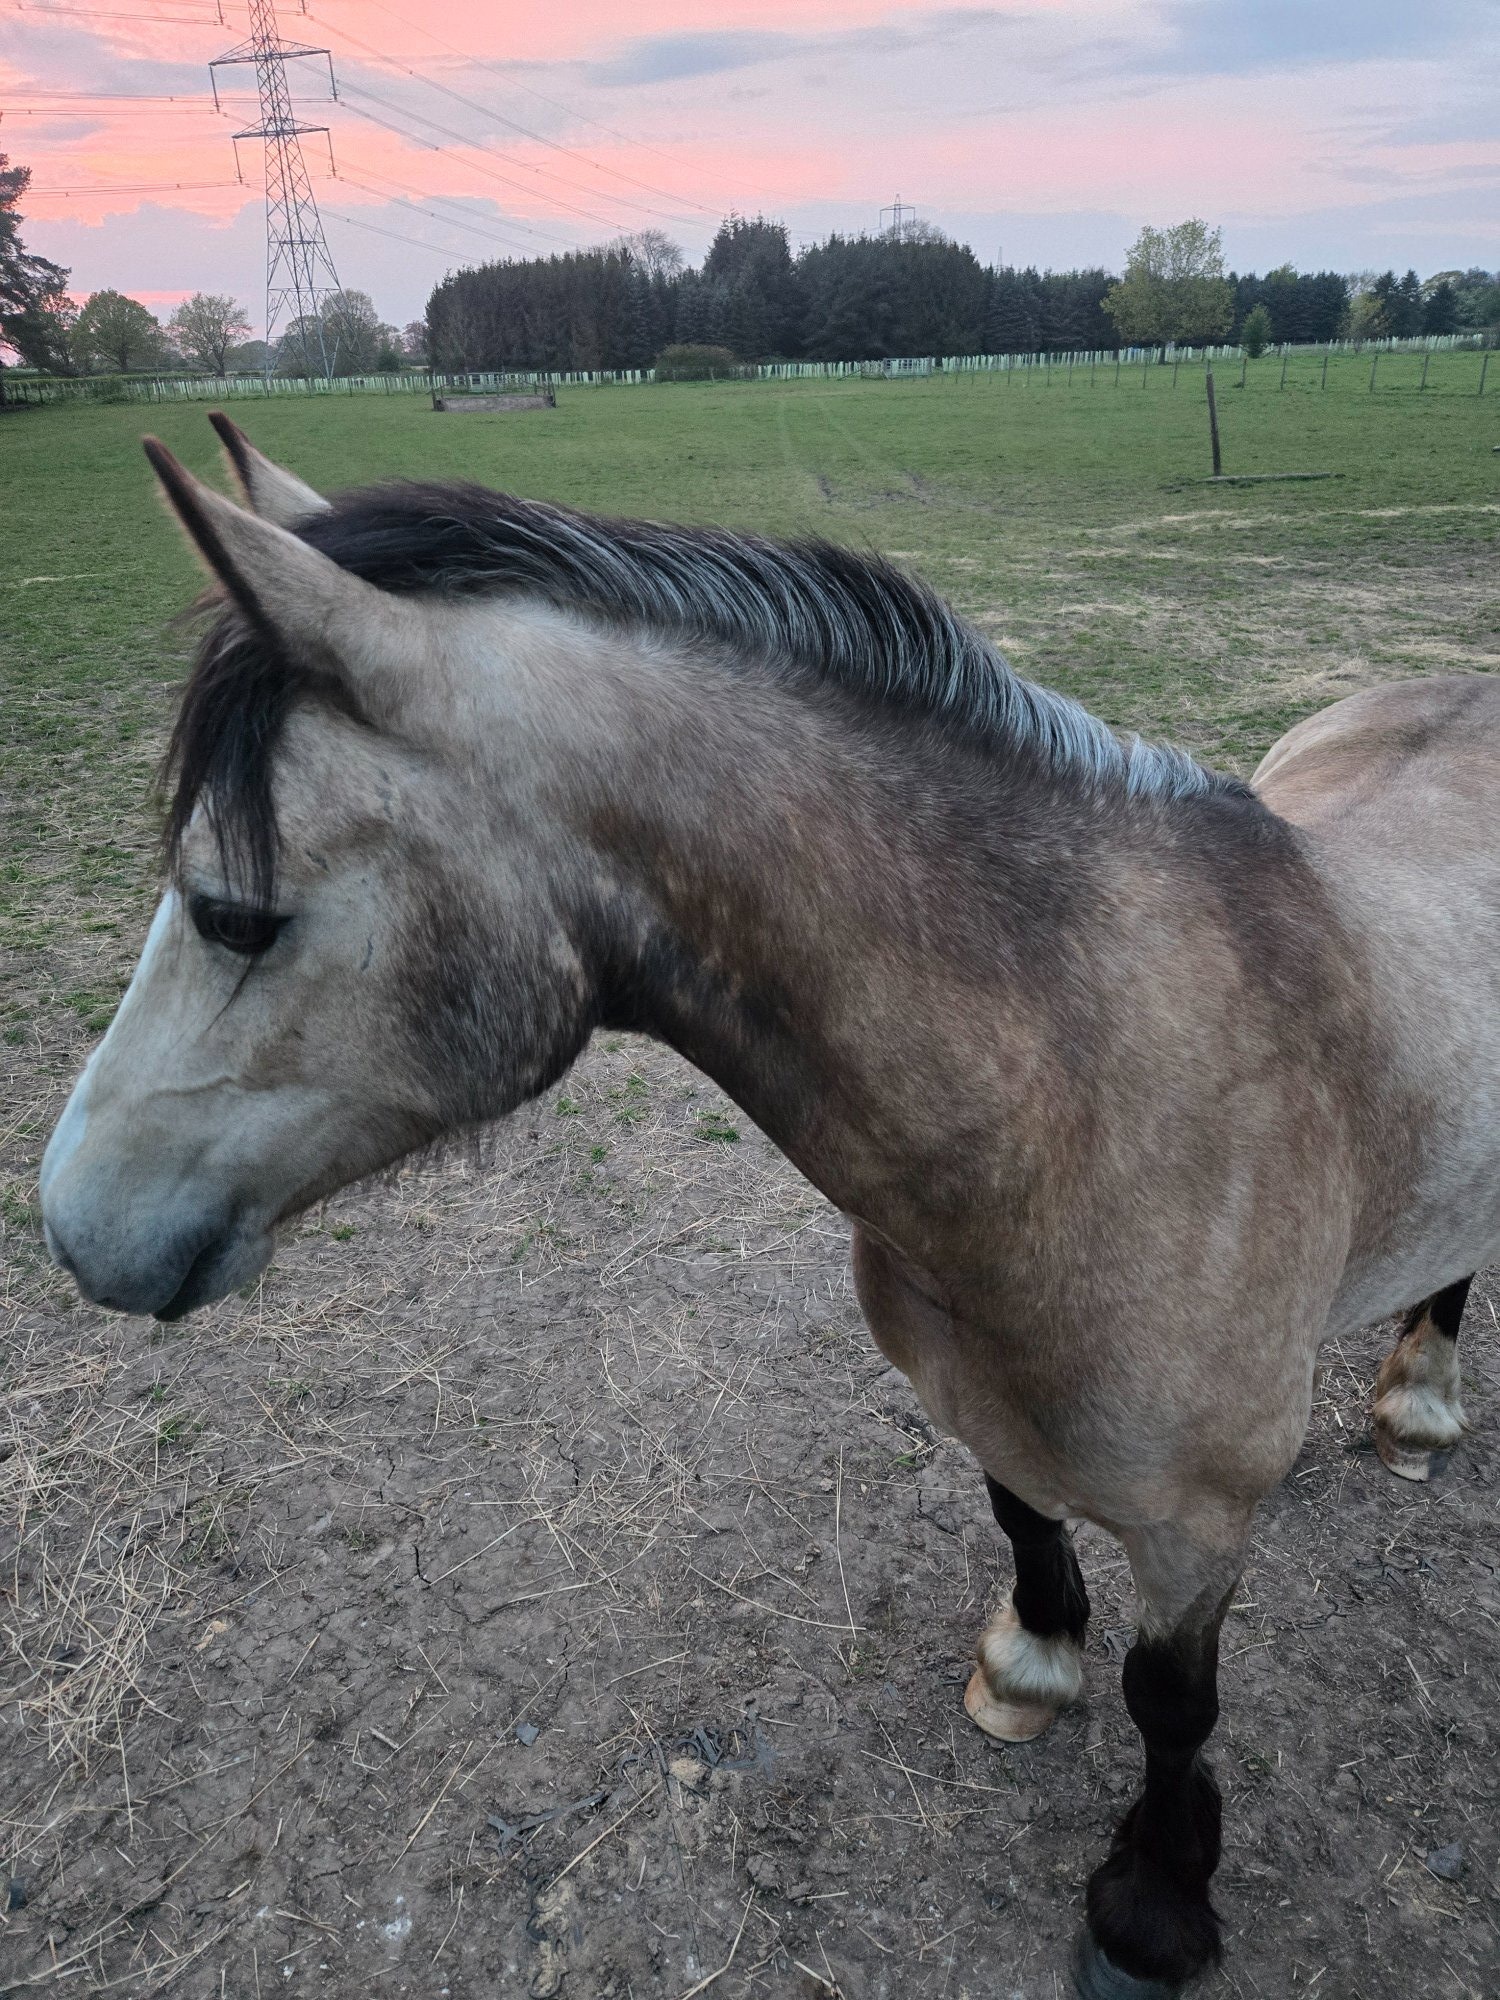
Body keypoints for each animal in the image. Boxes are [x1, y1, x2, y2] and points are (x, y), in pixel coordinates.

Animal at [39, 414, 1498, 1998]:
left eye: (233, 912)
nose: (69, 1223)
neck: (1087, 1091)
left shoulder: (1200, 1521)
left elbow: (1173, 1704)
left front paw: (1152, 1909)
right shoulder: (978, 1393)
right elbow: (1020, 1512)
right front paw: (1029, 1660)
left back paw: (1422, 1398)